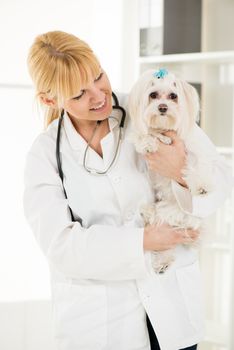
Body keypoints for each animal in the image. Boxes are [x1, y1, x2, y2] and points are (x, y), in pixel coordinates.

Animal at [127, 67, 213, 272]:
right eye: (153, 95)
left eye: (174, 96)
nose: (163, 107)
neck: (164, 129)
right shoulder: (142, 133)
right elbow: (144, 135)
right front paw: (149, 142)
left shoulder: (192, 151)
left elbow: (196, 165)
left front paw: (201, 186)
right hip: (167, 213)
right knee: (161, 228)